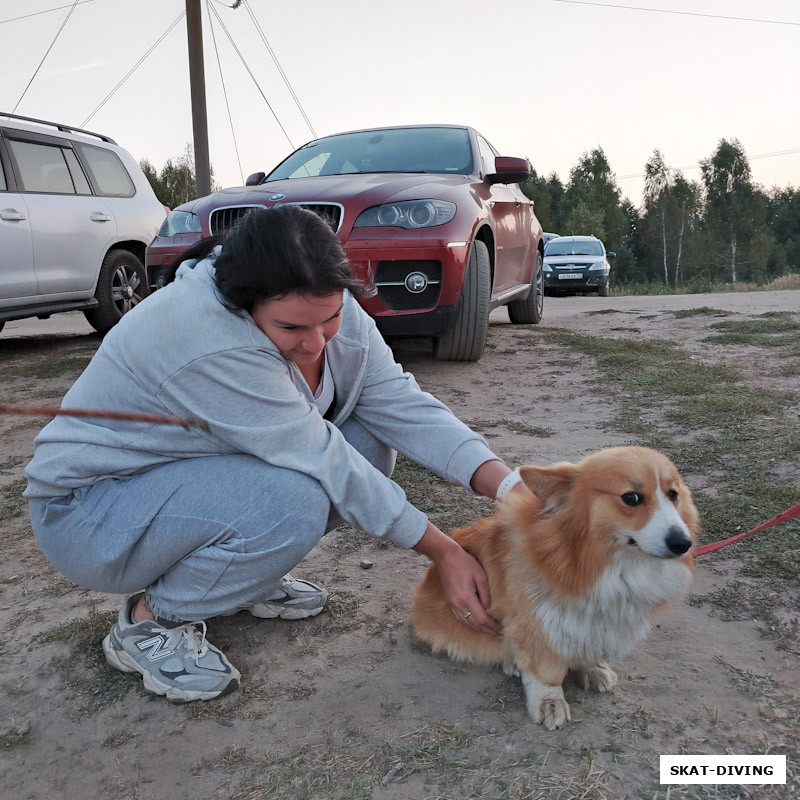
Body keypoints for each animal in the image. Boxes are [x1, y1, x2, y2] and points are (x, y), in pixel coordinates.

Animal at [416, 446, 696, 728]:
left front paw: (593, 668)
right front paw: (549, 702)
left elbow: (589, 643)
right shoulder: (538, 620)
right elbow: (545, 672)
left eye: (673, 494)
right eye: (631, 498)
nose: (683, 543)